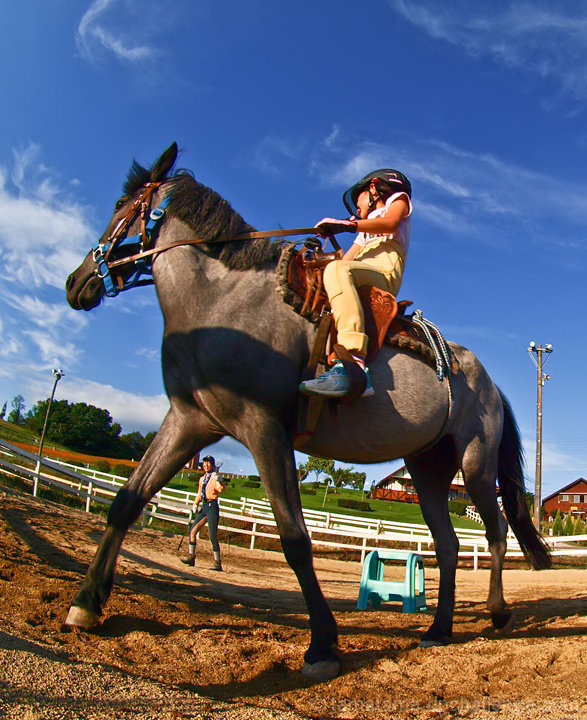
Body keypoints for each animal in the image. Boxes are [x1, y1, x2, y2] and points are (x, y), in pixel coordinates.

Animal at [64, 142, 552, 680]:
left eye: (121, 207)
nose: (77, 281)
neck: (224, 300)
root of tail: (488, 381)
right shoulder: (189, 421)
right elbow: (127, 500)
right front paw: (86, 602)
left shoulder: (264, 429)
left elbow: (295, 538)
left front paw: (322, 645)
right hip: (428, 471)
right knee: (448, 546)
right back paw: (438, 628)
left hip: (476, 465)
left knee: (496, 532)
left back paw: (498, 612)